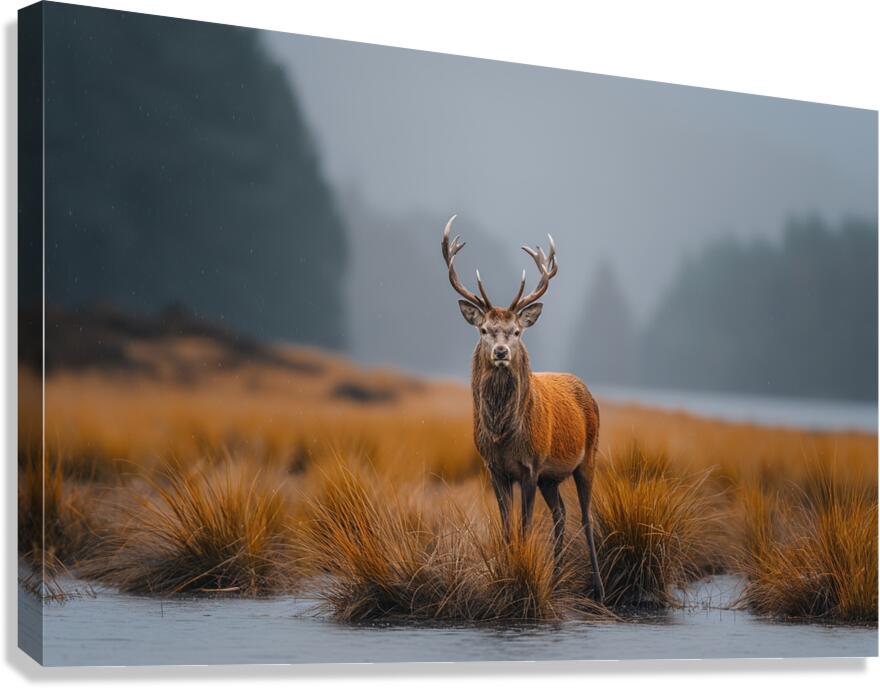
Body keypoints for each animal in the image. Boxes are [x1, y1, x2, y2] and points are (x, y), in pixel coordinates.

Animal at [441, 215, 604, 602]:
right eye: (485, 330)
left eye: (516, 332)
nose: (501, 352)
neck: (504, 436)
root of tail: (587, 390)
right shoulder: (495, 469)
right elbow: (507, 529)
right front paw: (505, 575)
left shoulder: (531, 465)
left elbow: (527, 527)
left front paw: (521, 576)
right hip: (551, 478)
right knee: (560, 515)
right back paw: (556, 578)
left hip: (587, 456)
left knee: (587, 517)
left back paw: (598, 588)